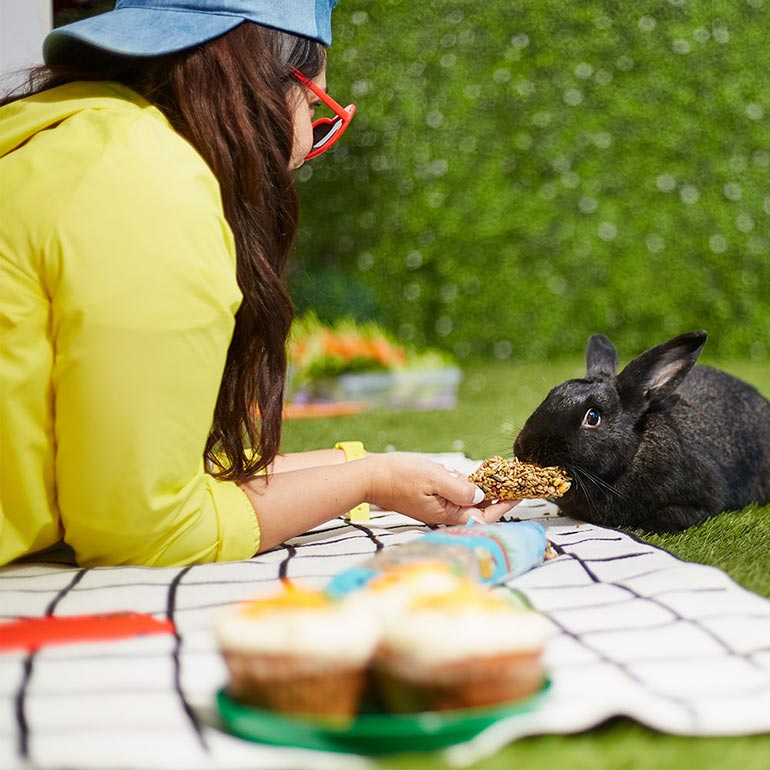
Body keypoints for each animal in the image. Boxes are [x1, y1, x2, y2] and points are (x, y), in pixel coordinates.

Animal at [512, 330, 768, 536]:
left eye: (593, 417)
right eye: (551, 394)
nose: (524, 447)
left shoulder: (704, 498)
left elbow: (680, 513)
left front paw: (643, 529)